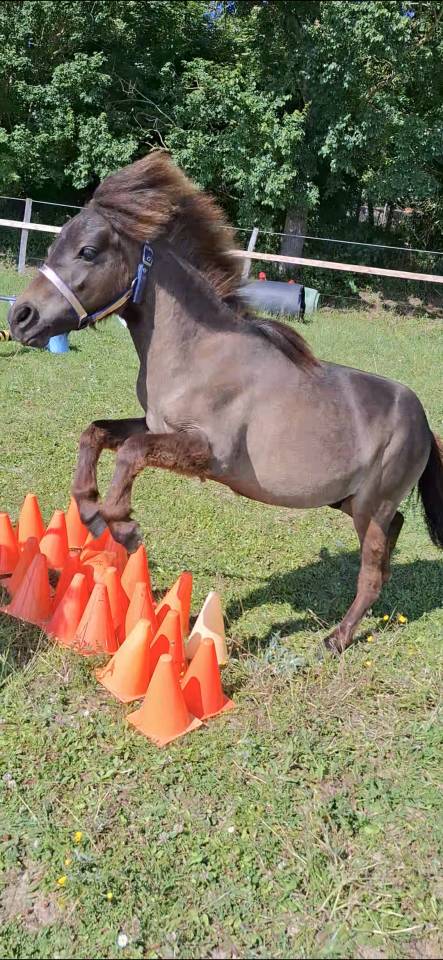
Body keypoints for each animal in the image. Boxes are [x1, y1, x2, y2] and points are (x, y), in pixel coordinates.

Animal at [8, 152, 443, 653]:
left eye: (88, 251)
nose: (20, 317)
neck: (197, 350)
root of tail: (425, 424)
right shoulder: (155, 425)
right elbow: (96, 433)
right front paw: (89, 509)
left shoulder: (206, 452)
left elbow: (131, 453)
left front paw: (121, 526)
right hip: (351, 502)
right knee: (392, 538)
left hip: (372, 507)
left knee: (371, 573)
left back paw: (336, 638)